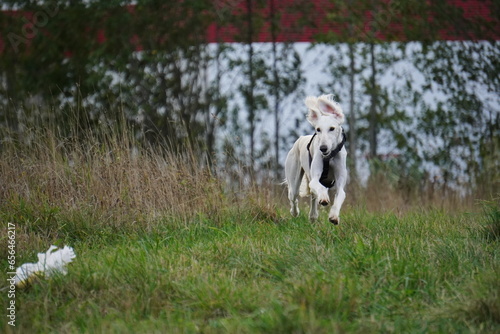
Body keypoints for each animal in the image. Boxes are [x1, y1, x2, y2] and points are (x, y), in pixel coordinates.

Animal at [286, 94, 348, 224]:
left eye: (332, 128)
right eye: (318, 129)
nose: (323, 148)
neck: (329, 157)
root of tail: (300, 138)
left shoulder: (340, 182)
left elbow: (340, 195)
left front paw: (334, 216)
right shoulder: (314, 178)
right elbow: (319, 186)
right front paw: (324, 197)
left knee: (313, 197)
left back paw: (313, 216)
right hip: (294, 179)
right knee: (293, 197)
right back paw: (295, 212)